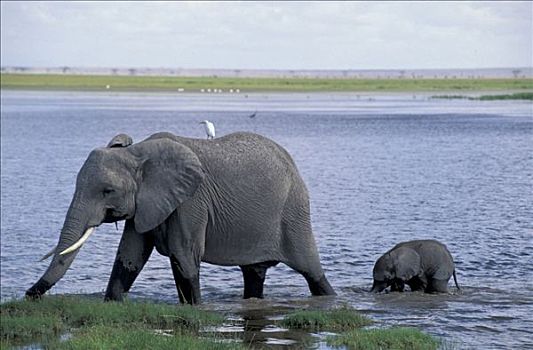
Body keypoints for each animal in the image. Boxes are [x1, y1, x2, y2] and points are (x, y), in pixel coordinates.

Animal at [26, 131, 332, 304]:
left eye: (107, 191)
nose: (29, 295)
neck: (137, 153)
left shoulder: (191, 201)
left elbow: (183, 254)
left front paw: (194, 308)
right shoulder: (147, 203)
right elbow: (130, 255)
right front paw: (110, 304)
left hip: (294, 212)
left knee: (312, 272)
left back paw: (329, 296)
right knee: (254, 273)